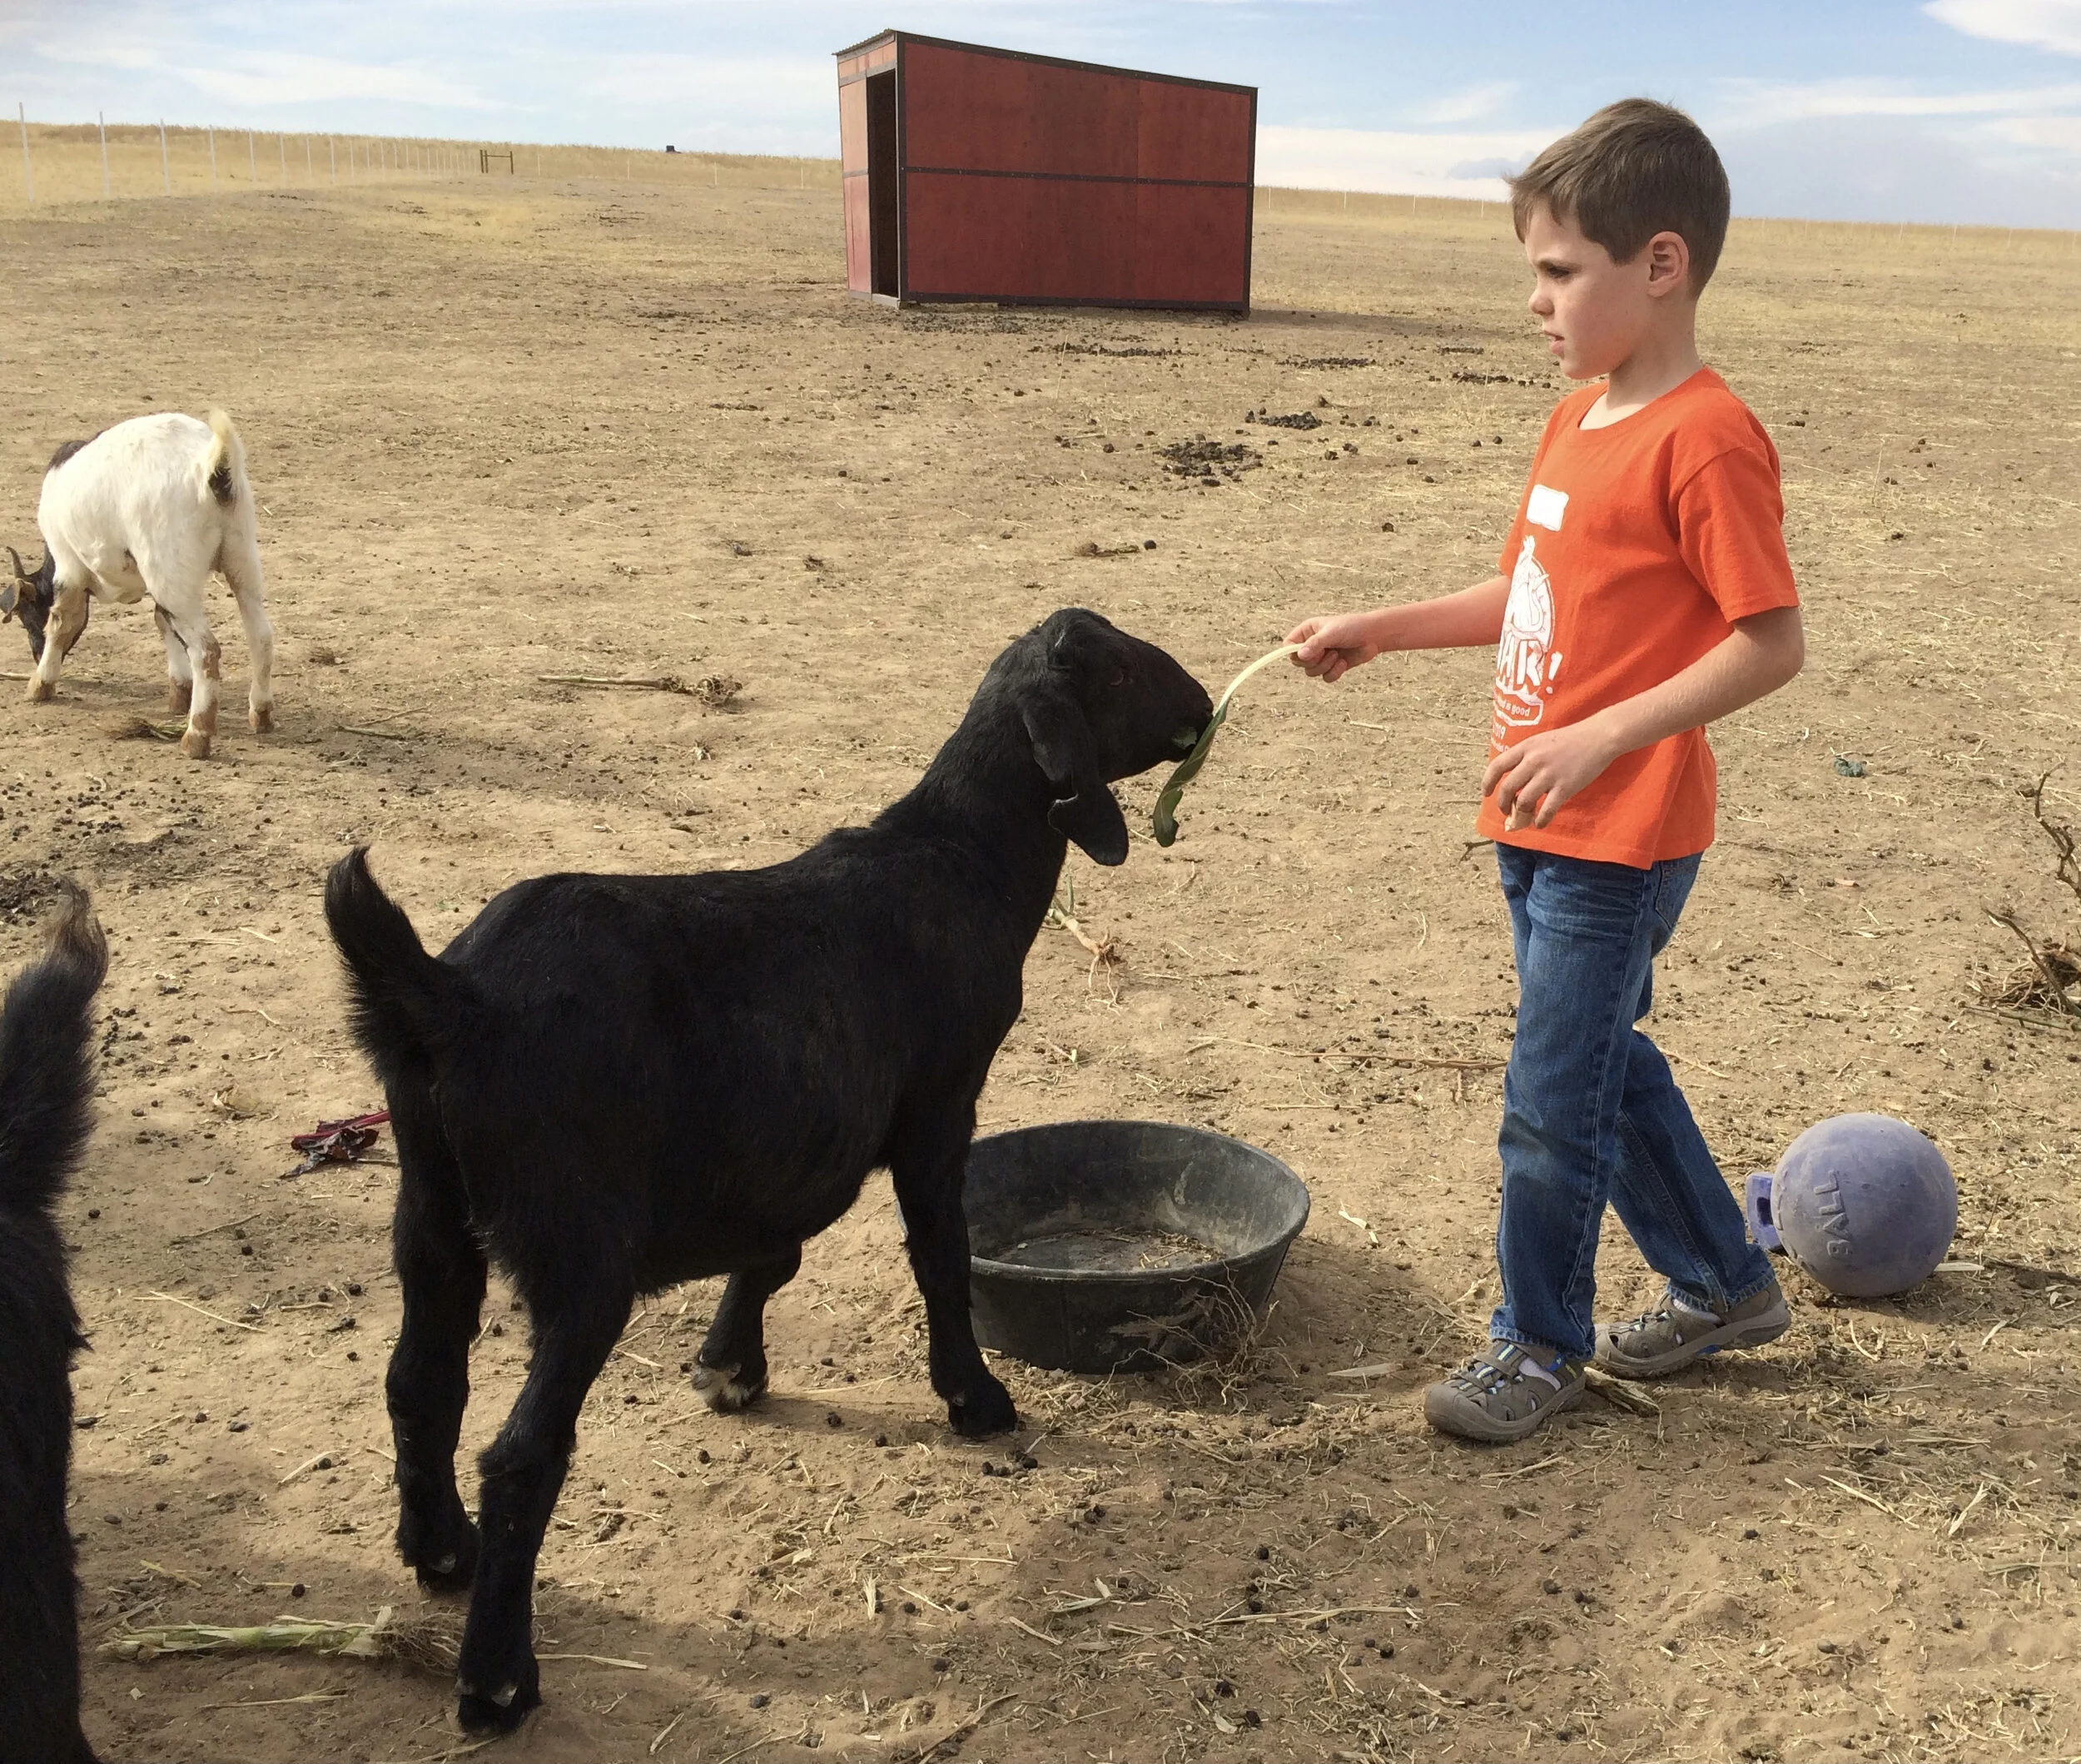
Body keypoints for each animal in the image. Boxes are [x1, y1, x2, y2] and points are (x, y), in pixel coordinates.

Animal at [7, 409, 275, 759]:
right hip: (240, 557)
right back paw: (261, 715)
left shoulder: (68, 566)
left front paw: (41, 684)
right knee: (261, 636)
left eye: (27, 619)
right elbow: (162, 622)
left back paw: (197, 736)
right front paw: (179, 694)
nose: (36, 655)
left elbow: (62, 621)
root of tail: (213, 467)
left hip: (170, 569)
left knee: (206, 651)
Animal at [325, 607, 1210, 1731]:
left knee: (419, 1383)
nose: (1200, 708)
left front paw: (728, 1365)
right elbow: (941, 1257)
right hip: (578, 1248)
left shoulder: (779, 1142)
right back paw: (496, 1680)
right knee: (522, 1453)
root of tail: (453, 999)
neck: (957, 857)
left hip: (430, 1214)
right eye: (1122, 672)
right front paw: (974, 1399)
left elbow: (775, 1250)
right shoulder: (936, 1105)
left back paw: (441, 1552)